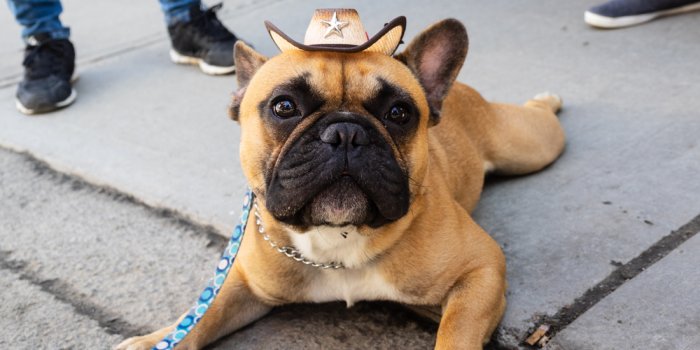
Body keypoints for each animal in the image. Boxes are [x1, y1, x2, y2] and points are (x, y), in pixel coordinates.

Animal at [117, 8, 568, 350]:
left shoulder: (480, 269)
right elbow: (204, 313)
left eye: (399, 113)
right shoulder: (245, 283)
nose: (346, 132)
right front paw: (153, 340)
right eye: (284, 106)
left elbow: (455, 332)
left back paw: (547, 100)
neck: (337, 239)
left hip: (529, 145)